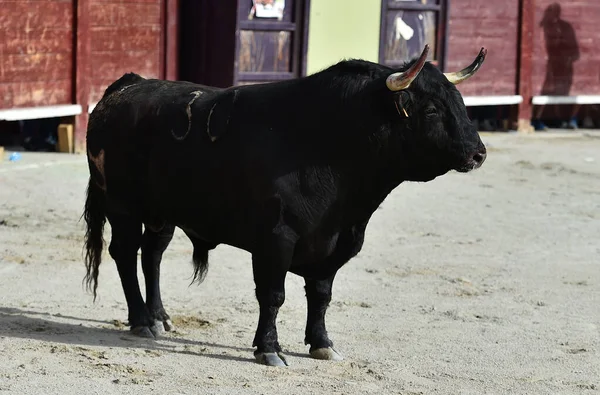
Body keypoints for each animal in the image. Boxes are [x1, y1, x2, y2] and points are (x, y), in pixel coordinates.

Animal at [84, 45, 488, 368]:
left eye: (461, 103)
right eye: (432, 110)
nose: (478, 153)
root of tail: (128, 84)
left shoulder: (338, 240)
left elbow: (321, 295)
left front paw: (323, 344)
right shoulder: (275, 240)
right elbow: (273, 295)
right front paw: (269, 349)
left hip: (162, 213)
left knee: (152, 254)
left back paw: (159, 317)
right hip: (122, 206)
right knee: (125, 253)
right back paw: (140, 320)